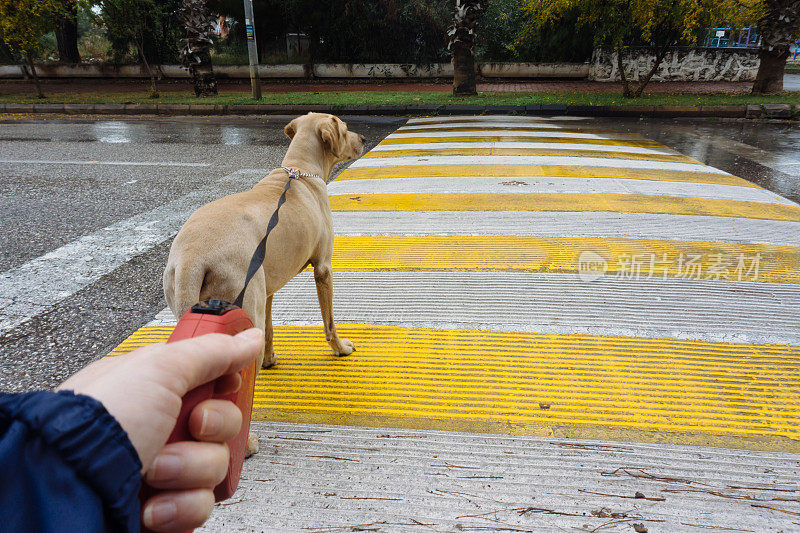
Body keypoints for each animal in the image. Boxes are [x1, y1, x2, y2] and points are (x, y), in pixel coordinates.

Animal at [166, 114, 366, 368]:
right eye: (346, 128)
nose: (364, 138)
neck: (300, 170)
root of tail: (190, 259)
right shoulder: (323, 268)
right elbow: (329, 322)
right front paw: (340, 349)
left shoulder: (269, 288)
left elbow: (270, 328)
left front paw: (270, 359)